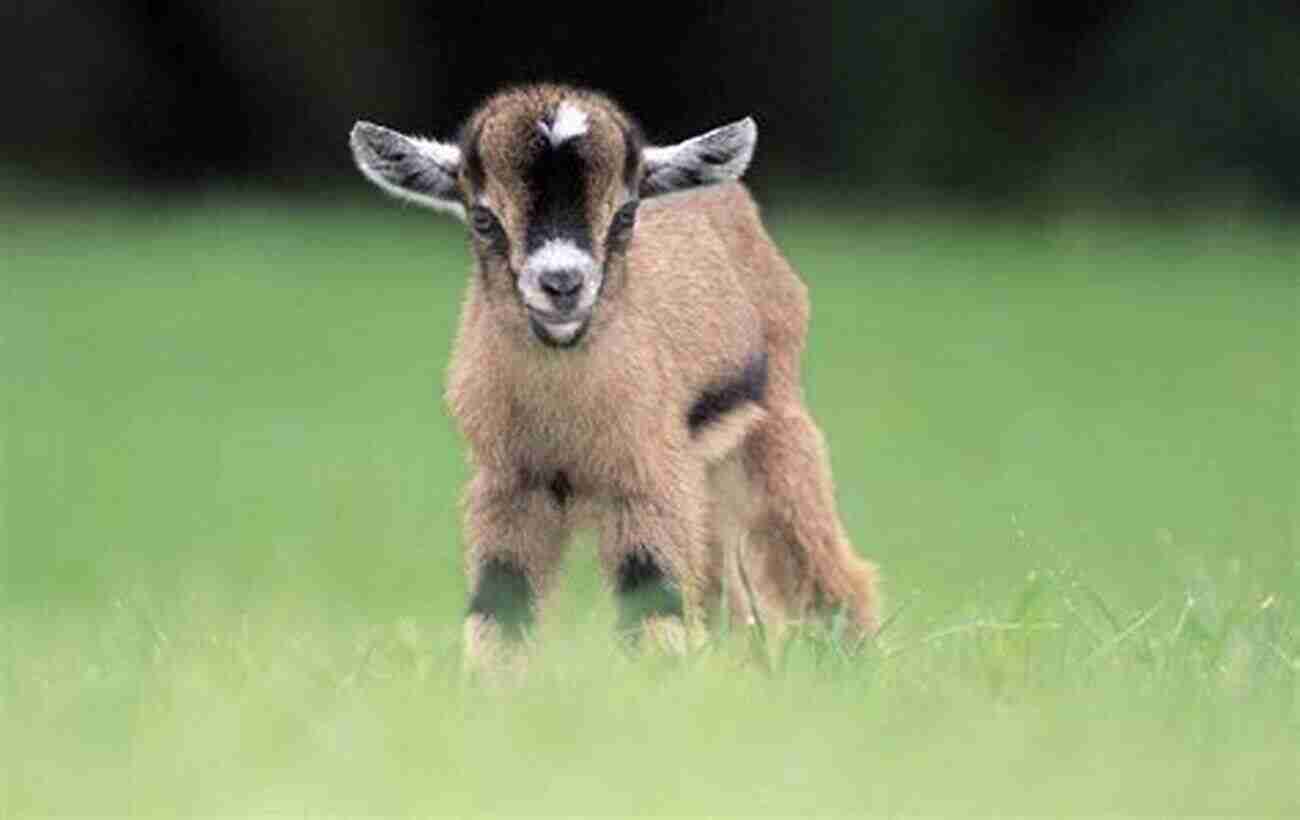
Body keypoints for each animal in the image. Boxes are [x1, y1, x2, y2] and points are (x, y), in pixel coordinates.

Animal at [351, 86, 878, 670]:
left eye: (626, 214)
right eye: (483, 218)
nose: (562, 285)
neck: (564, 423)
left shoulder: (648, 480)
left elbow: (654, 605)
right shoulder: (509, 485)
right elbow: (500, 607)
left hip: (772, 433)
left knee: (829, 570)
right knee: (729, 603)